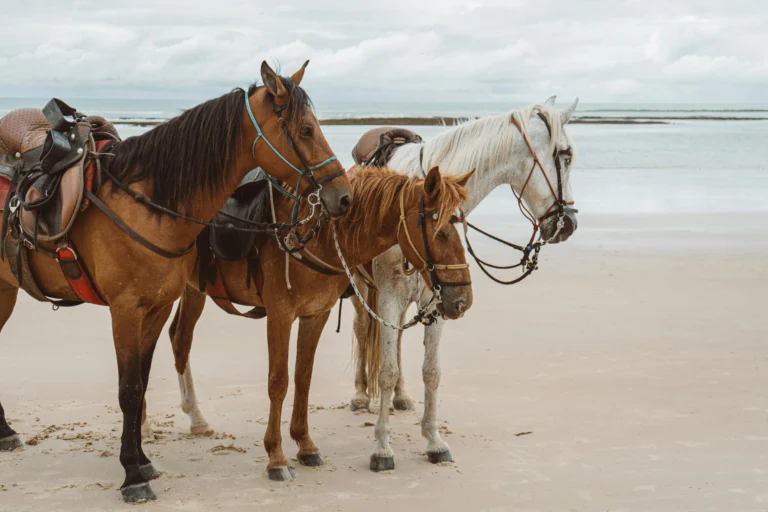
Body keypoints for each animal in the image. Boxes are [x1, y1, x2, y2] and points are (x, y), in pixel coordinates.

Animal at [0, 61, 353, 503]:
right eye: (305, 130)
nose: (344, 196)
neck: (146, 204)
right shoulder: (125, 310)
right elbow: (129, 389)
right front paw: (133, 476)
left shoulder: (157, 306)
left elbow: (141, 382)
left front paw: (142, 462)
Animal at [144, 165, 474, 481]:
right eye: (440, 232)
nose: (463, 300)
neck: (315, 236)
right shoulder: (280, 314)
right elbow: (278, 382)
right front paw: (276, 457)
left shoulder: (316, 314)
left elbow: (303, 376)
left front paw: (304, 445)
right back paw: (146, 427)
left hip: (193, 289)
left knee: (179, 340)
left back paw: (196, 419)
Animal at [349, 97, 580, 472]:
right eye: (566, 155)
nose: (569, 224)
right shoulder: (389, 297)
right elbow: (385, 370)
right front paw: (382, 448)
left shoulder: (438, 300)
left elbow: (431, 371)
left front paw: (433, 441)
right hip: (361, 288)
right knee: (360, 329)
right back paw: (358, 395)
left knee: (396, 341)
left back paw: (401, 397)